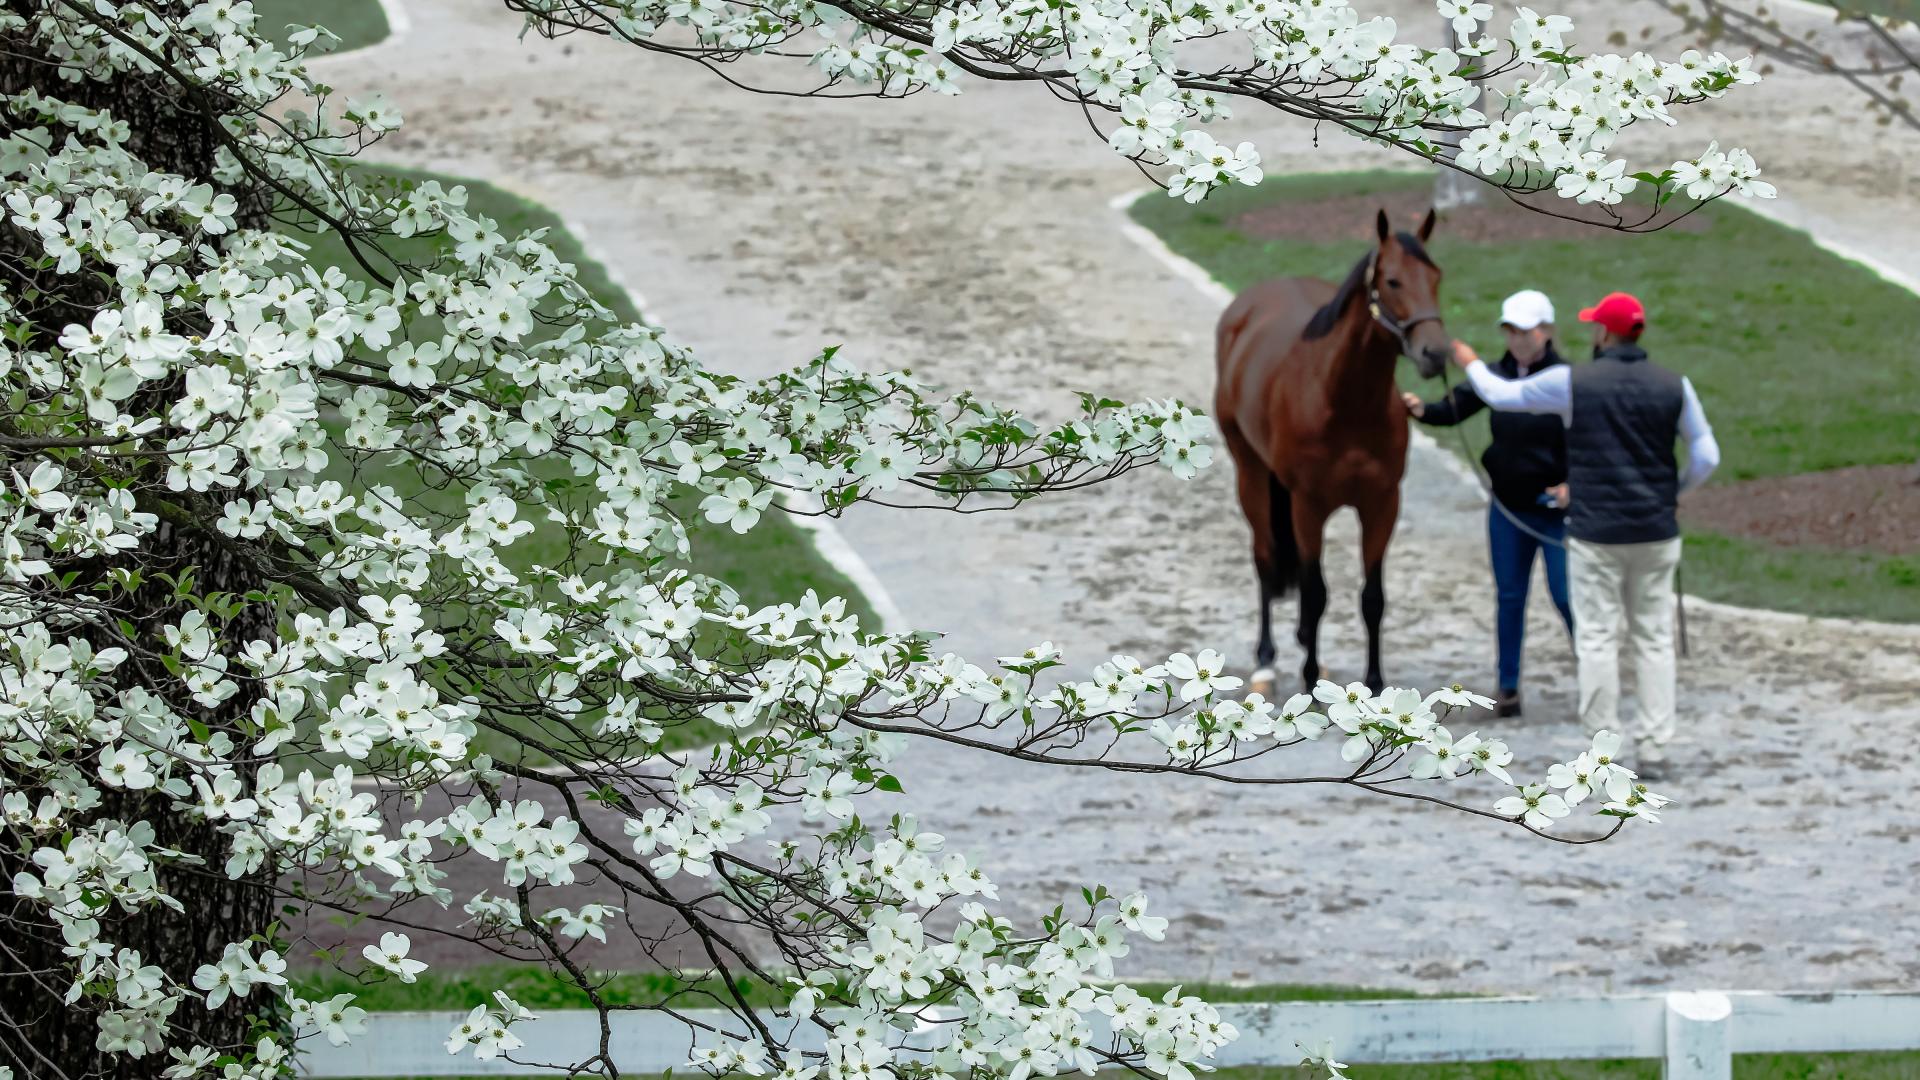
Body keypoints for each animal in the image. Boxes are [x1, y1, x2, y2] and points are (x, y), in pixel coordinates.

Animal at [1213, 209, 1451, 687]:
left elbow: (1372, 598)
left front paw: (1374, 684)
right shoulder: (1309, 506)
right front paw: (1308, 680)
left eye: (1436, 277)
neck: (1344, 402)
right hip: (1251, 473)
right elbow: (1316, 592)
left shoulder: (1381, 504)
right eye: (1393, 281)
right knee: (1265, 556)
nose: (1435, 354)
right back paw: (1266, 660)